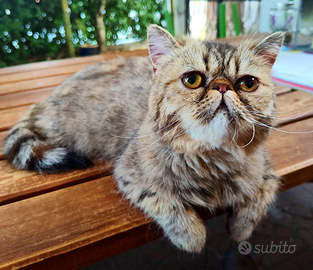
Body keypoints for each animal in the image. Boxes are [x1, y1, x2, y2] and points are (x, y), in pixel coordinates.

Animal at [4, 25, 282, 253]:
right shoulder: (129, 174)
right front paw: (192, 237)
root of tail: (47, 98)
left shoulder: (267, 171)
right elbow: (167, 204)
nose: (222, 86)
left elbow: (260, 198)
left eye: (248, 83)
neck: (212, 158)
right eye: (192, 80)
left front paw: (239, 229)